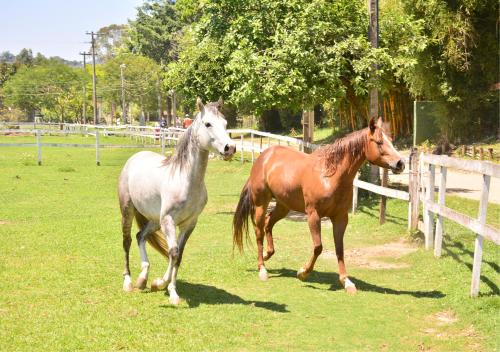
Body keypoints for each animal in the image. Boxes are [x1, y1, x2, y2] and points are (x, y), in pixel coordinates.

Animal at [117, 97, 236, 304]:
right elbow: (172, 252)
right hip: (129, 211)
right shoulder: (169, 221)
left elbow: (178, 254)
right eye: (208, 124)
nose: (230, 148)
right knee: (127, 241)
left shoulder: (189, 223)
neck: (185, 179)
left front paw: (166, 287)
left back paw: (143, 279)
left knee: (141, 236)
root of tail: (134, 158)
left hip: (154, 220)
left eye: (225, 123)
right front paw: (164, 287)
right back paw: (129, 282)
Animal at [232, 117, 404, 292]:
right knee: (259, 231)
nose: (400, 163)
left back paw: (268, 254)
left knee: (268, 223)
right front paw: (303, 273)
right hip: (261, 204)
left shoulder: (341, 217)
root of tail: (263, 157)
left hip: (283, 206)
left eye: (391, 140)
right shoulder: (313, 215)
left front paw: (346, 281)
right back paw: (262, 268)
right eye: (379, 142)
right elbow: (318, 247)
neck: (330, 176)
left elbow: (339, 248)